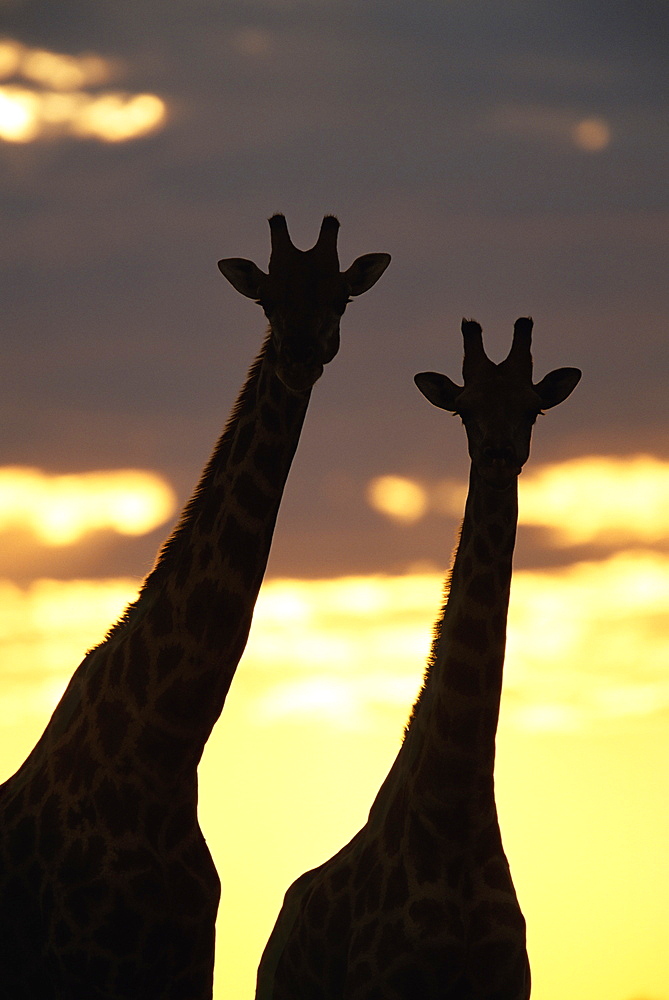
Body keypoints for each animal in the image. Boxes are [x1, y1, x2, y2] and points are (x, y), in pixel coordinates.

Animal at [0, 213, 392, 1000]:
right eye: (268, 299)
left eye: (339, 294)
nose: (301, 350)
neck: (162, 751)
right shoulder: (78, 965)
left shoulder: (184, 966)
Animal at [256, 316, 580, 996]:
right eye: (464, 409)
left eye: (532, 407)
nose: (498, 453)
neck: (454, 808)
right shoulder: (385, 982)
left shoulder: (508, 984)